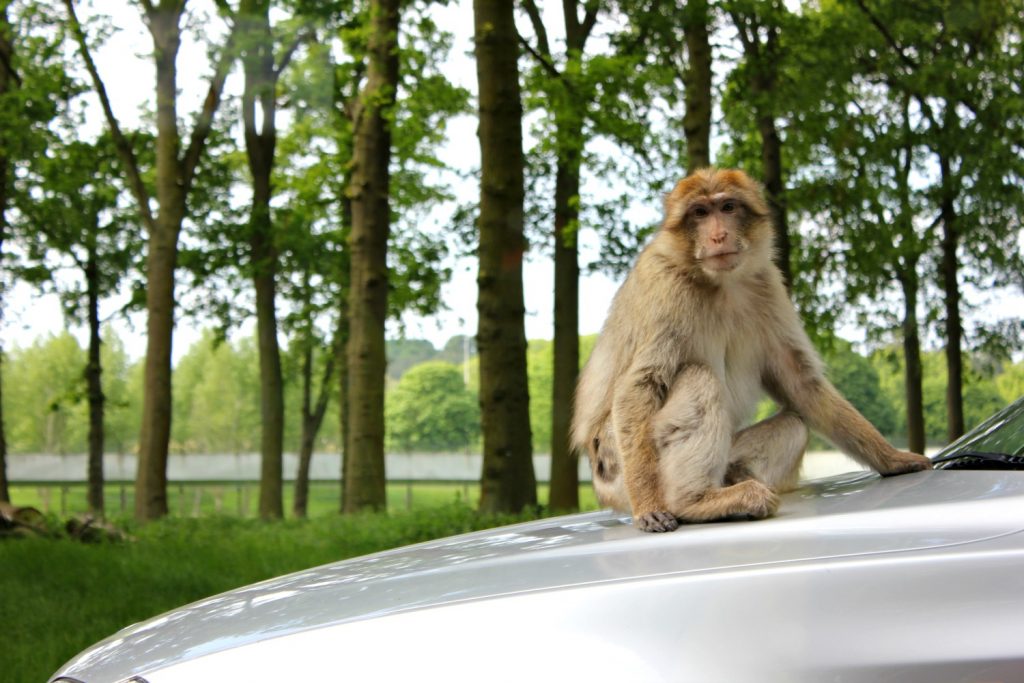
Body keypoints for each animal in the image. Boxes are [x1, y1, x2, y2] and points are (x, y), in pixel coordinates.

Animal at [572, 168, 932, 533]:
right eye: (700, 212)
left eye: (728, 207)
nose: (718, 235)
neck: (720, 283)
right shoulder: (664, 288)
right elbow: (639, 386)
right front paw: (649, 503)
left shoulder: (768, 283)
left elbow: (800, 383)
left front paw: (894, 459)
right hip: (616, 463)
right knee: (698, 378)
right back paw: (695, 501)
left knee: (794, 423)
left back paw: (736, 477)